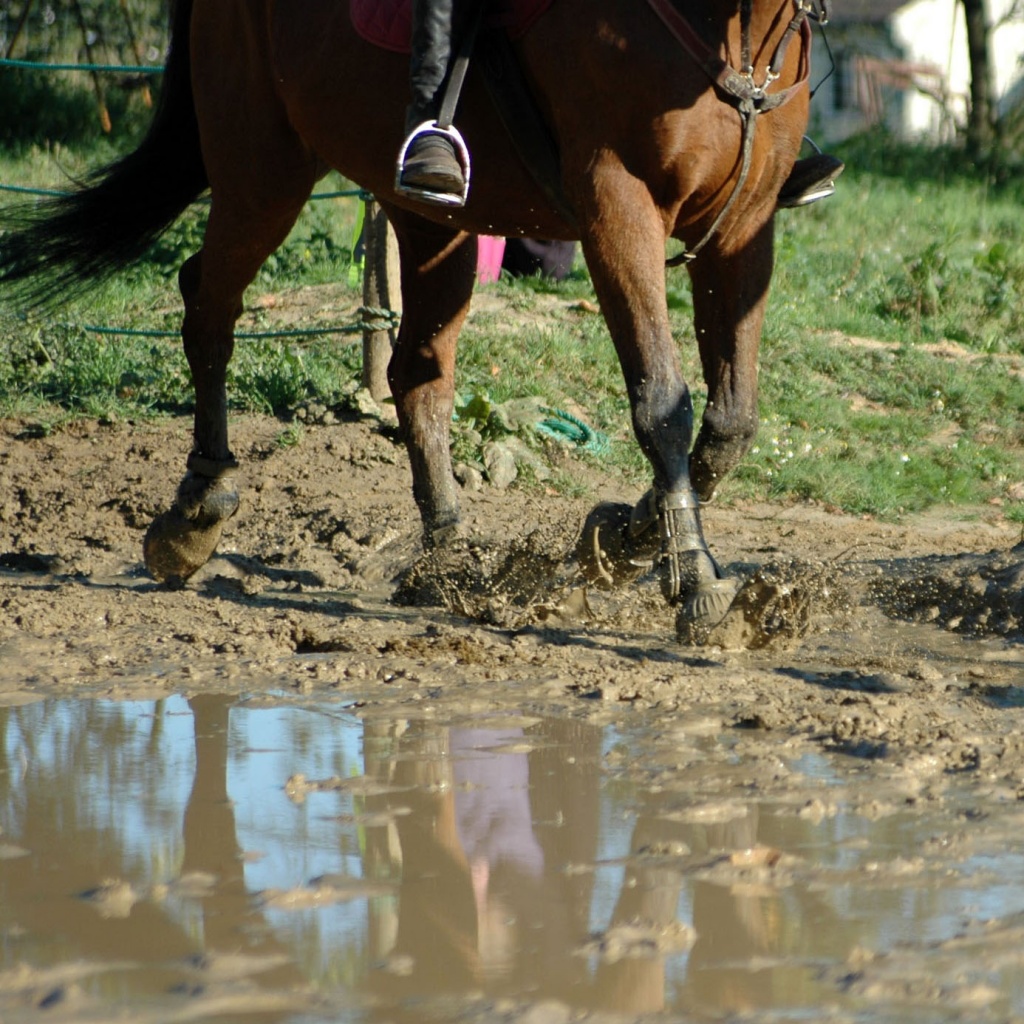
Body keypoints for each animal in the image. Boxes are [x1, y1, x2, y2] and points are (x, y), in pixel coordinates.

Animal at [0, 0, 815, 634]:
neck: (729, 23)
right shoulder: (618, 208)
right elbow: (662, 402)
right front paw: (694, 579)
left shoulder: (744, 227)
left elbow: (732, 421)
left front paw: (620, 542)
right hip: (262, 169)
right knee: (210, 306)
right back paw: (197, 507)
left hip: (430, 221)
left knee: (417, 372)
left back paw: (445, 555)